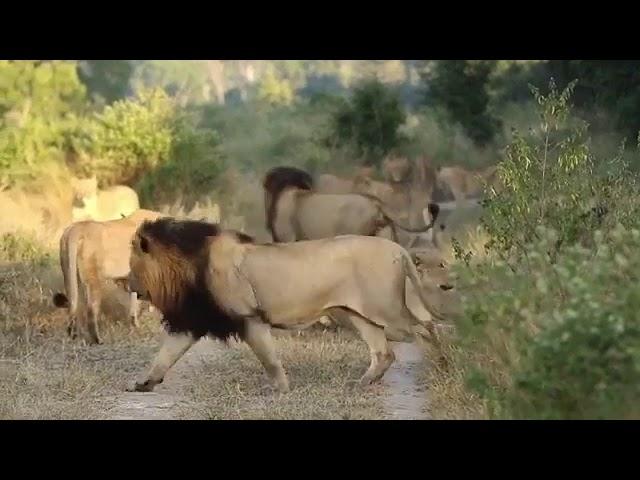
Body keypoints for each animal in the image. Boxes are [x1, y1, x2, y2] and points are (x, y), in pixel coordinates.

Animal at [126, 218, 456, 394]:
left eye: (132, 266)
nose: (126, 283)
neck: (188, 265)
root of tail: (399, 249)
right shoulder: (192, 321)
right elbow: (164, 356)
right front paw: (142, 384)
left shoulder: (250, 317)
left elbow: (269, 359)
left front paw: (279, 390)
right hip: (356, 315)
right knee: (384, 352)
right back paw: (362, 382)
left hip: (386, 310)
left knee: (426, 327)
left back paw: (444, 366)